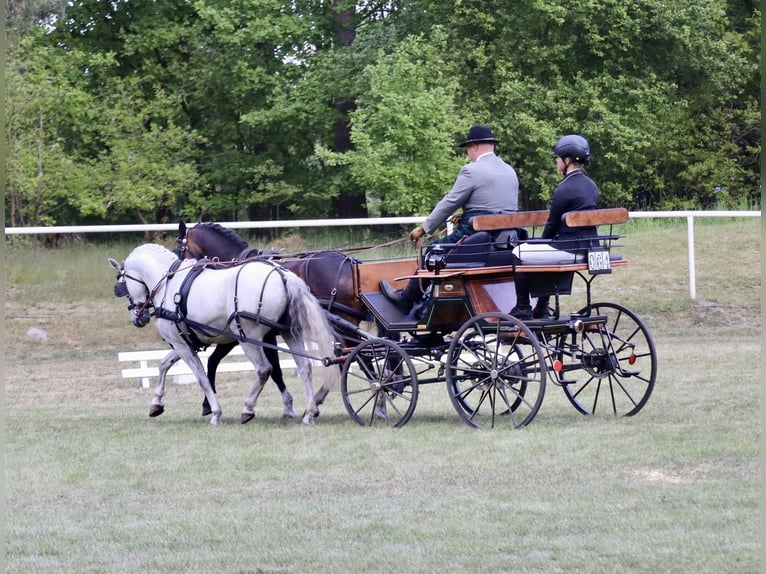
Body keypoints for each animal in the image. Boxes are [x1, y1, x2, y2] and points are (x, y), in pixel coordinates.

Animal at [175, 222, 372, 418]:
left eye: (179, 248)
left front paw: (208, 404)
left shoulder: (245, 333)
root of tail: (351, 265)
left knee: (360, 357)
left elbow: (220, 362)